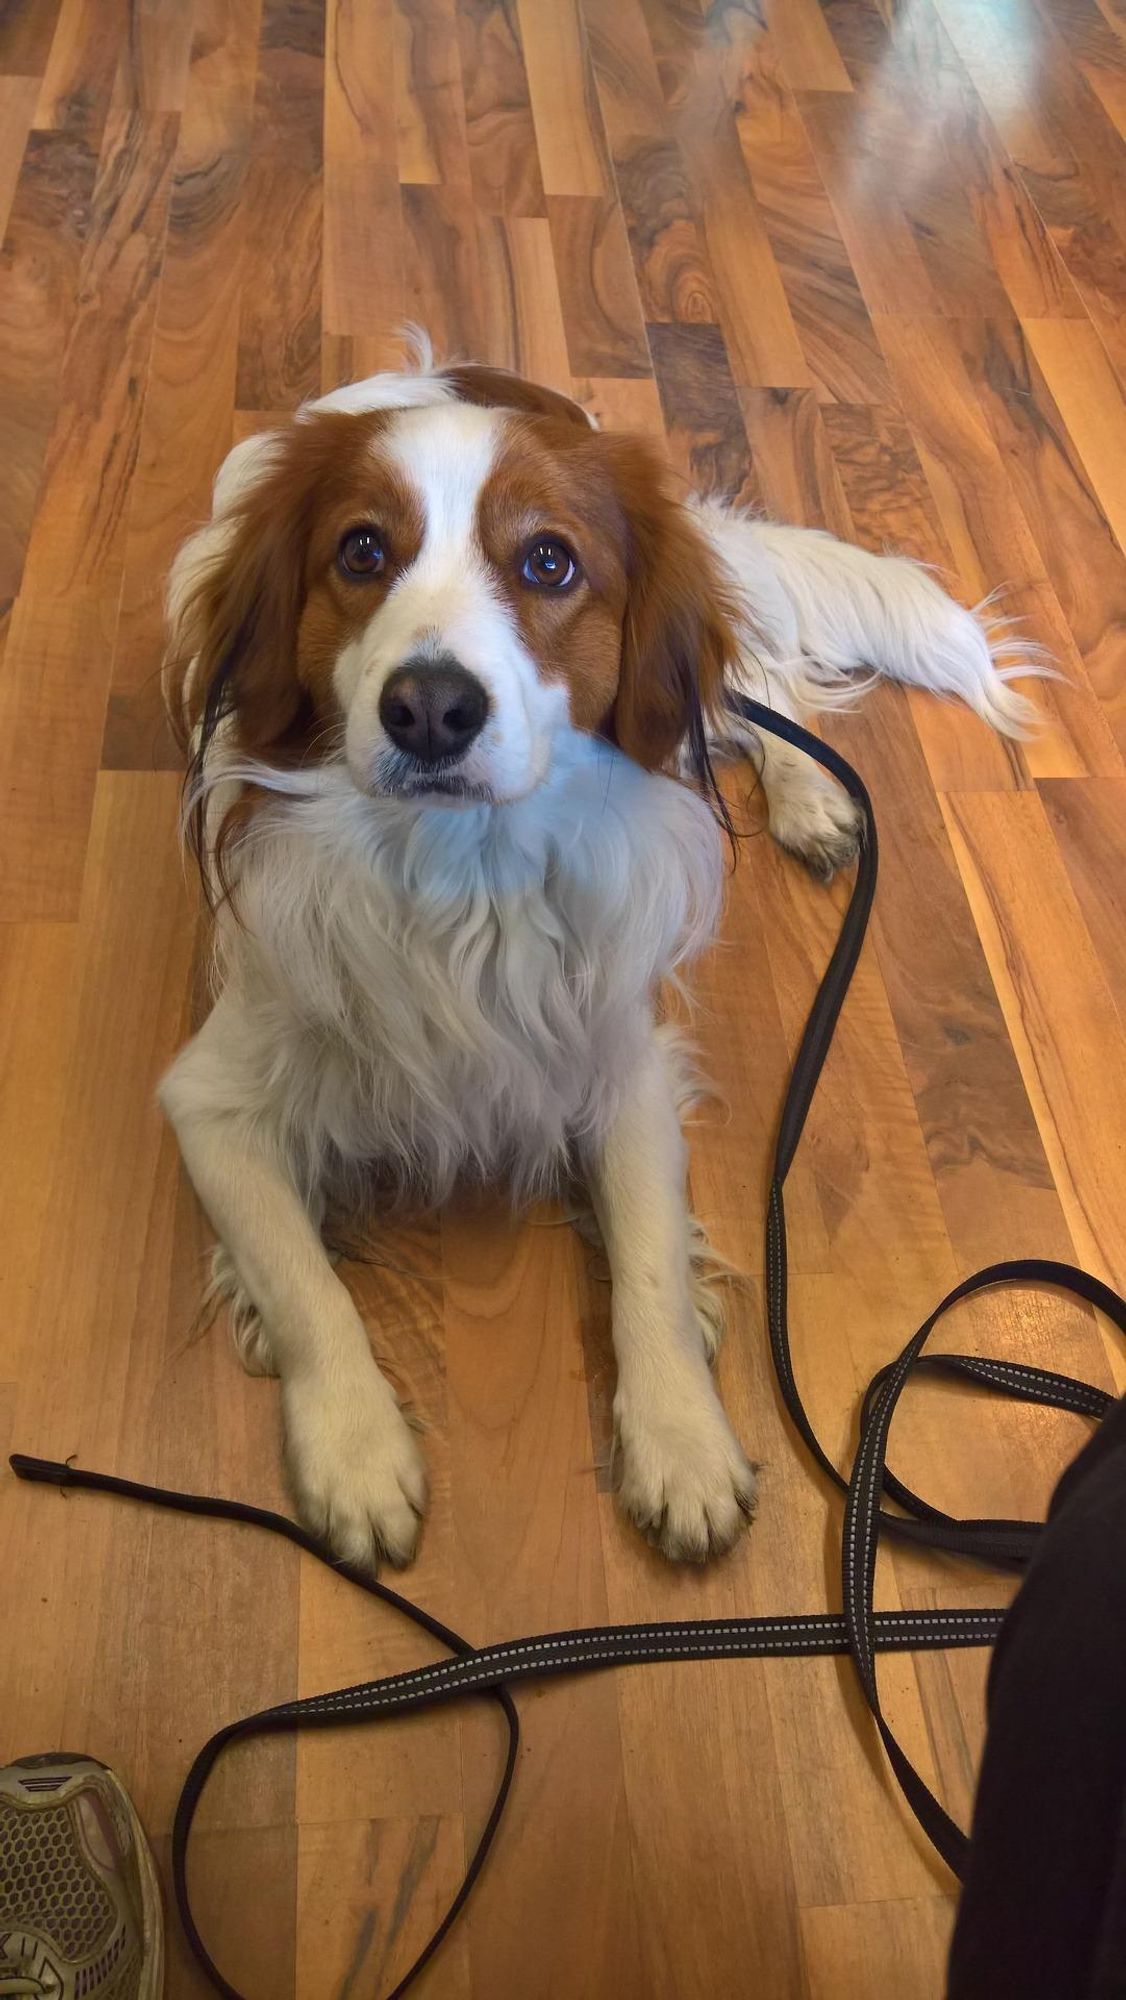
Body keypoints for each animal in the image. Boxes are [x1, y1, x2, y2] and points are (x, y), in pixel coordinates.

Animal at [159, 336, 1040, 1568]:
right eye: (362, 550)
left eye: (549, 561)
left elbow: (650, 1262)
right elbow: (302, 1282)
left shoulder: (619, 1059)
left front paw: (681, 1439)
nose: (431, 708)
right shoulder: (214, 1099)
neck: (461, 871)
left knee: (747, 693)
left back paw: (811, 794)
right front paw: (356, 1452)